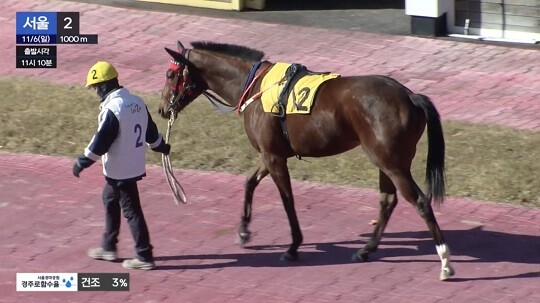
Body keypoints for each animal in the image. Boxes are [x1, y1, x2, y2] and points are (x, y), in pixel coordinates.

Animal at [158, 41, 454, 282]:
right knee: (388, 201)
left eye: (170, 74)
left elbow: (287, 200)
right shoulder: (270, 154)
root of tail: (411, 97)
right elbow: (249, 182)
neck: (254, 85)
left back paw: (444, 261)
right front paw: (243, 230)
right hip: (387, 161)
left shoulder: (274, 157)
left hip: (391, 162)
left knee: (420, 202)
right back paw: (366, 249)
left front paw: (293, 246)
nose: (161, 109)